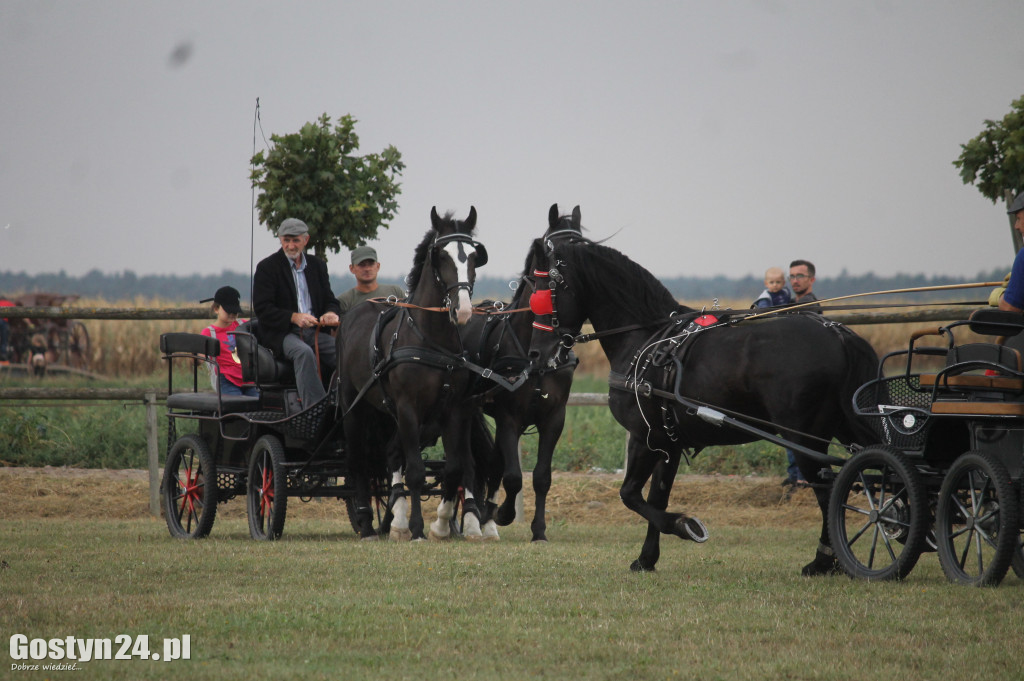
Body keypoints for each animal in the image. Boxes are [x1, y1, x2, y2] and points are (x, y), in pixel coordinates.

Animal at [337, 206, 489, 540]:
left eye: (474, 256)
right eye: (441, 256)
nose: (463, 310)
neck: (430, 340)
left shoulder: (453, 410)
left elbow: (454, 468)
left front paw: (440, 525)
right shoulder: (408, 407)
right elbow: (416, 472)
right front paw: (419, 529)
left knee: (391, 454)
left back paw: (396, 519)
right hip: (355, 407)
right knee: (359, 461)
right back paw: (367, 521)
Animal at [462, 204, 585, 540]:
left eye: (584, 245)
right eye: (556, 249)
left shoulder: (554, 418)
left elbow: (541, 476)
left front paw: (538, 530)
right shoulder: (509, 418)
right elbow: (514, 476)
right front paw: (504, 513)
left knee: (491, 462)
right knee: (473, 462)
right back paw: (475, 517)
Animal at [528, 236, 880, 569]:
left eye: (546, 290)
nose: (535, 353)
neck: (646, 339)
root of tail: (838, 334)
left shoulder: (646, 437)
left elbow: (630, 495)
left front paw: (685, 526)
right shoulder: (668, 442)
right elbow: (656, 497)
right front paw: (647, 558)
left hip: (804, 438)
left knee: (827, 490)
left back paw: (823, 560)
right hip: (847, 426)